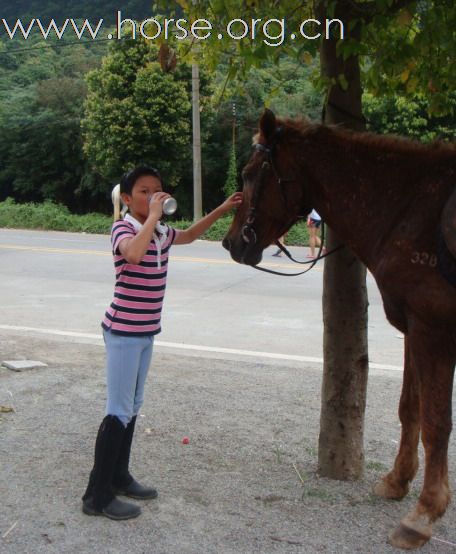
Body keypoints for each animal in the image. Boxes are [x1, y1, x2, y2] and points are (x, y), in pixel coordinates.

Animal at [223, 109, 456, 548]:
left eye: (248, 173)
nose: (231, 243)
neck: (409, 208)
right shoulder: (413, 330)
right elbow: (410, 408)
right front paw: (397, 480)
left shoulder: (432, 331)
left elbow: (436, 422)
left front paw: (424, 514)